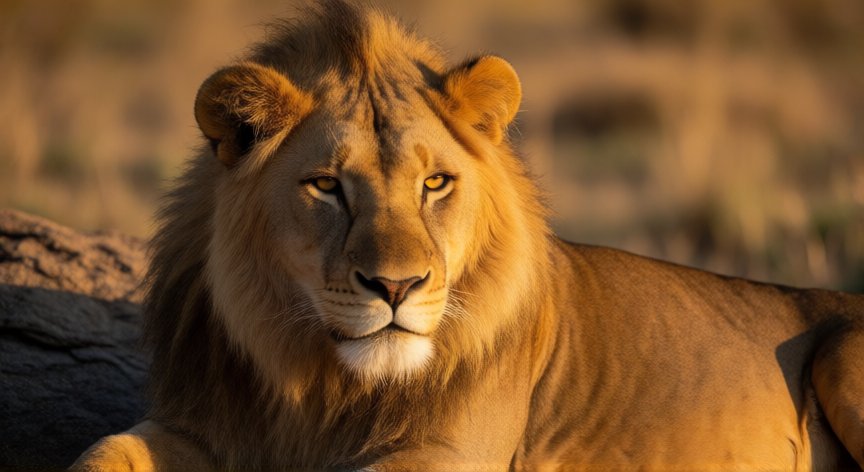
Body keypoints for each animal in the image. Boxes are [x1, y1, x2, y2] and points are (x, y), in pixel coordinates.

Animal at [72, 1, 864, 470]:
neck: (319, 384)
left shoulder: (445, 454)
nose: (396, 287)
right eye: (326, 186)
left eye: (435, 184)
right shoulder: (201, 426)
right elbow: (104, 449)